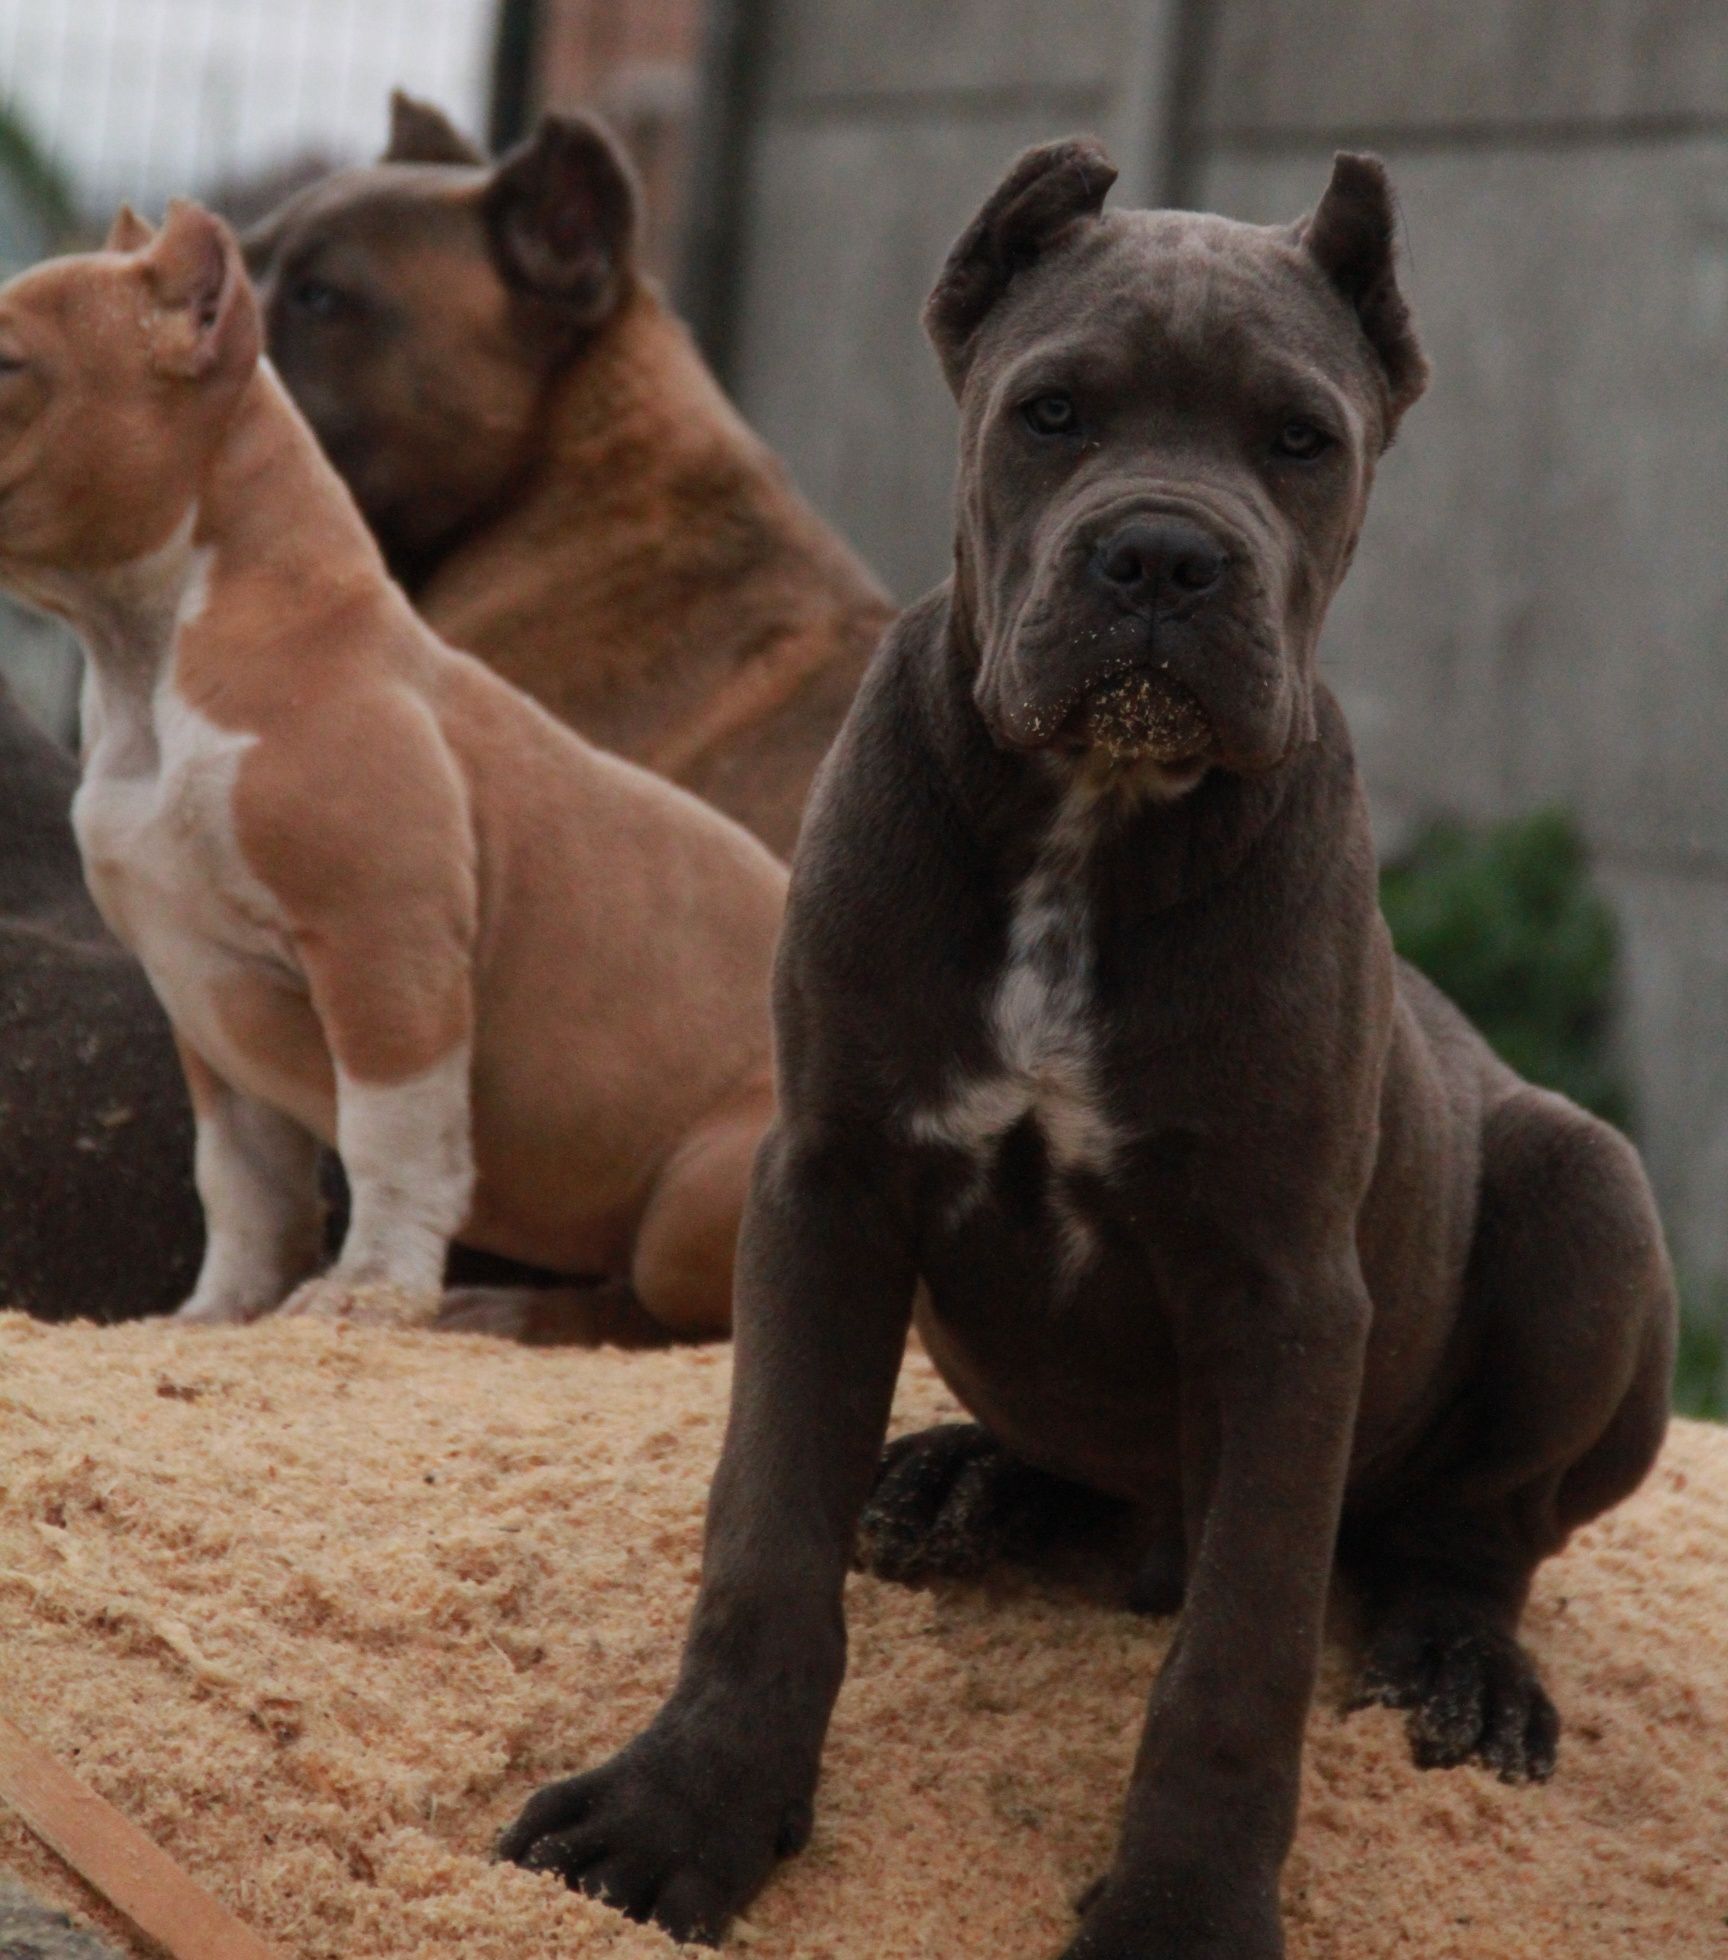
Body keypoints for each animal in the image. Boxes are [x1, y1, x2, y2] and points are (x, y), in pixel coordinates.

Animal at [0, 206, 779, 1340]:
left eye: (7, 360)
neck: (147, 656)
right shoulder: (201, 999)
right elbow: (243, 1179)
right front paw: (223, 1307)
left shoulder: (383, 954)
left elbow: (391, 1136)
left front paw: (368, 1290)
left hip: (696, 1194)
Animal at [495, 142, 1669, 1960]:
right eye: (1050, 413)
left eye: (1300, 439)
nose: (1165, 560)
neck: (1087, 820)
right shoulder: (827, 1184)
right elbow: (764, 1531)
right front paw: (690, 1807)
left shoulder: (1284, 1292)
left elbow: (1239, 1654)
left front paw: (1181, 1912)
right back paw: (958, 1481)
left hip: (1589, 1192)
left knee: (1475, 1529)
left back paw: (1463, 1670)